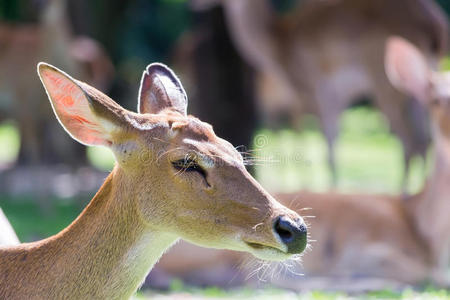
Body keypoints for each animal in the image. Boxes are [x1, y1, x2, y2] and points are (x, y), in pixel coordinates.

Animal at [220, 0, 448, 189]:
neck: (278, 43)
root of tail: (435, 27)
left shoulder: (319, 95)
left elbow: (324, 145)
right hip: (417, 89)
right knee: (423, 141)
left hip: (386, 89)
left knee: (409, 142)